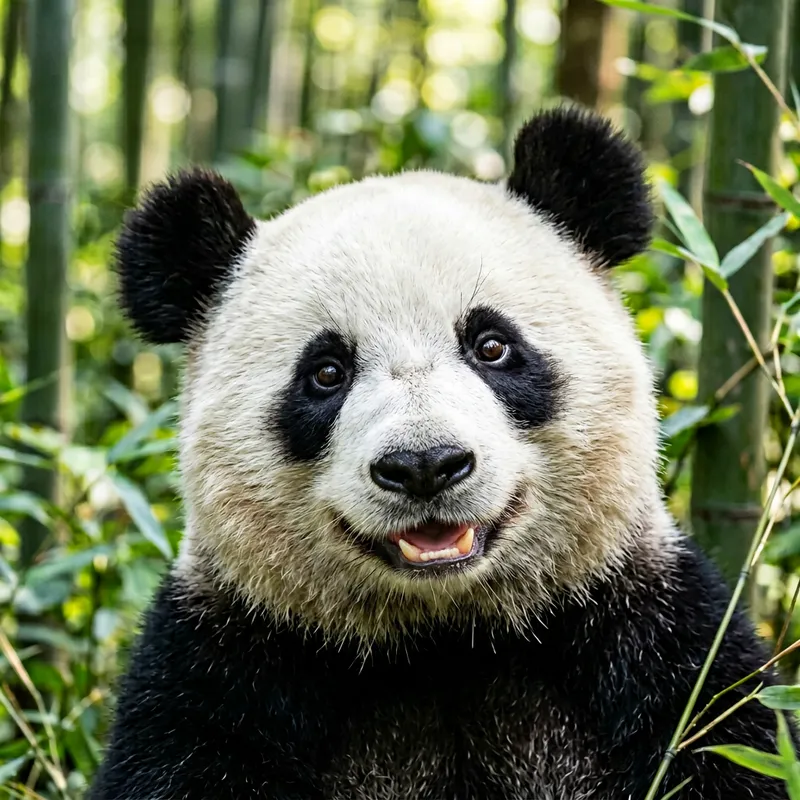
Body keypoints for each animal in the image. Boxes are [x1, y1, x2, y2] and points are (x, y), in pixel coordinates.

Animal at [91, 107, 787, 800]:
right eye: (325, 373)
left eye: (492, 345)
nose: (424, 465)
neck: (446, 638)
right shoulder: (224, 667)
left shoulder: (653, 641)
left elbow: (726, 737)